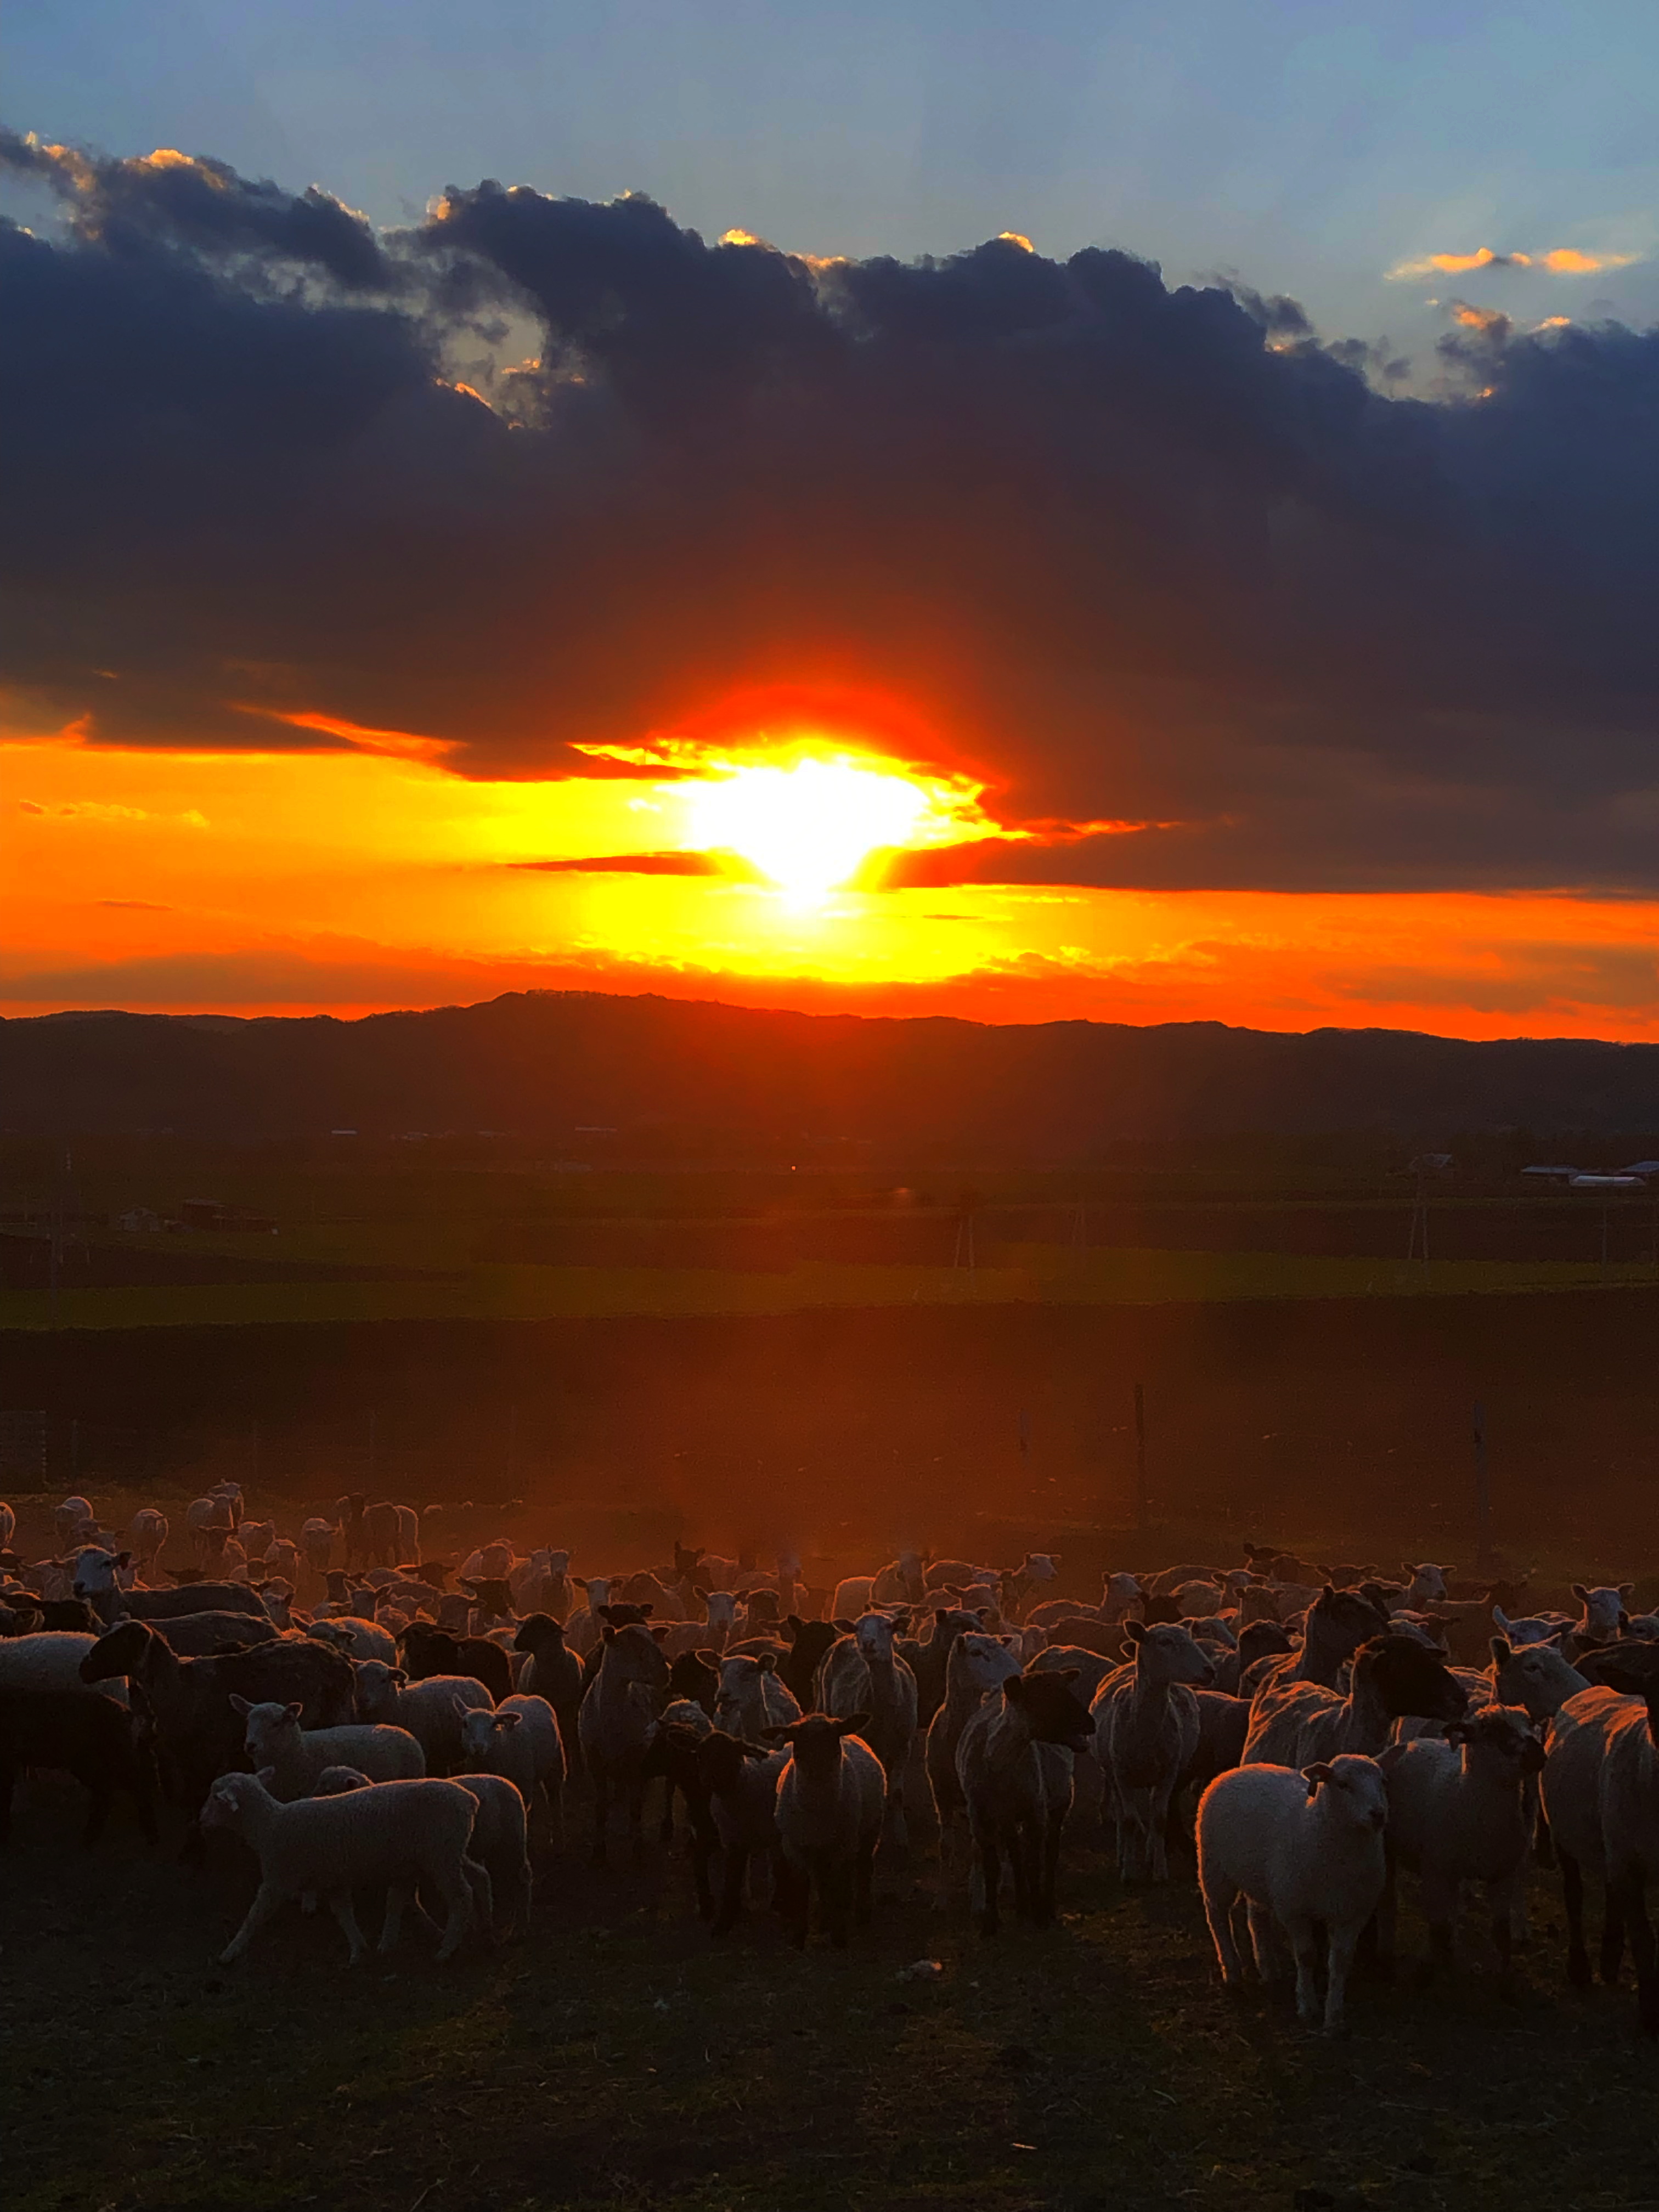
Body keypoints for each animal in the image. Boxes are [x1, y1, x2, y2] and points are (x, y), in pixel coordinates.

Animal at [774, 1716, 889, 1946]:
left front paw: (839, 1936)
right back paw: (826, 1920)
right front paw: (799, 1936)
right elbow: (802, 1888)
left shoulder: (843, 1847)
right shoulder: (793, 1847)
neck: (818, 1810)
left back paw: (861, 1913)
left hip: (869, 1832)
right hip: (820, 1851)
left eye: (832, 1740)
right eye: (798, 1742)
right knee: (822, 1881)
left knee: (863, 1869)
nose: (817, 1770)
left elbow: (840, 1886)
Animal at [955, 1663, 1097, 1928]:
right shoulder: (980, 1816)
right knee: (1015, 1854)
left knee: (1050, 1855)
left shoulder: (1036, 1811)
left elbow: (1034, 1864)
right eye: (1045, 1698)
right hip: (1007, 1817)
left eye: (1066, 1690)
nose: (1091, 1723)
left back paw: (1046, 1906)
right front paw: (991, 1922)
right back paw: (1022, 1906)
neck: (999, 1762)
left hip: (1059, 1804)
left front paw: (1039, 1914)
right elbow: (994, 1866)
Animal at [1203, 1752, 1398, 2044]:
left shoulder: (1352, 1913)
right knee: (1217, 1915)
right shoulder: (1295, 1910)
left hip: (1262, 1879)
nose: (1378, 1814)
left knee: (1256, 1918)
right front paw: (1307, 2006)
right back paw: (1232, 1970)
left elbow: (1341, 1963)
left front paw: (1334, 2018)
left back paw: (1268, 1969)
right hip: (1214, 1868)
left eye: (1383, 1782)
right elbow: (1306, 1956)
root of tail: (1238, 1770)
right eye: (1343, 1784)